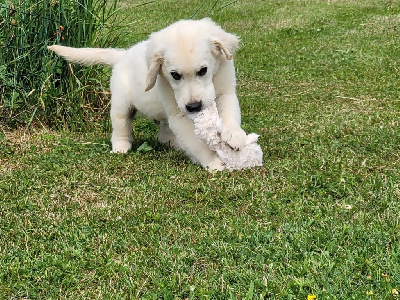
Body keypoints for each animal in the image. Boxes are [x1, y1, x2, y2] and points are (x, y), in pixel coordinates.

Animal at [47, 18, 247, 171]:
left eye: (203, 70)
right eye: (175, 75)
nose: (194, 107)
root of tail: (122, 55)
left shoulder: (226, 91)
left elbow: (230, 114)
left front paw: (234, 135)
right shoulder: (178, 114)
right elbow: (196, 143)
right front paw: (213, 161)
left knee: (163, 135)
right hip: (121, 103)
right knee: (121, 126)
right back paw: (121, 146)